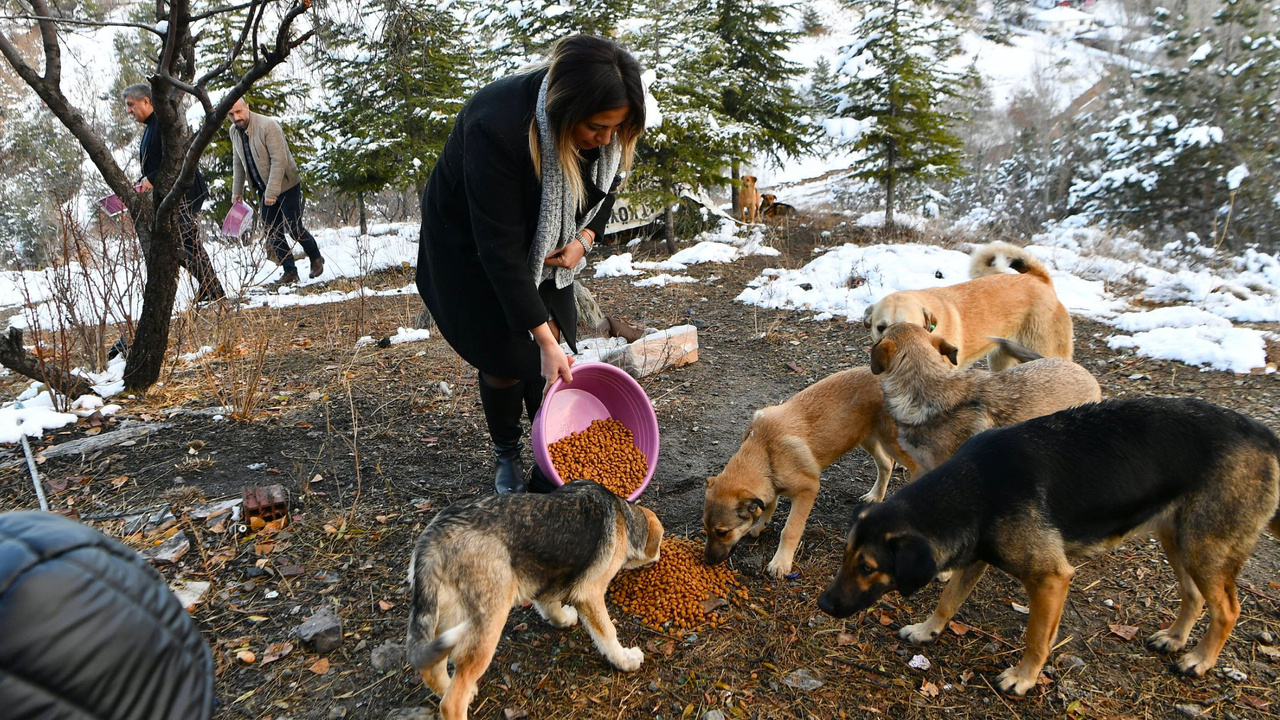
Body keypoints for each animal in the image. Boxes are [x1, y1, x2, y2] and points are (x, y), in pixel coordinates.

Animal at [407, 479, 670, 712]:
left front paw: (563, 619)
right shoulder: (590, 594)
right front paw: (625, 659)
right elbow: (608, 633)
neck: (623, 515)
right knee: (451, 702)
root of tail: (431, 541)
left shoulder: (547, 584)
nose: (659, 556)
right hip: (486, 625)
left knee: (432, 668)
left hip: (444, 619)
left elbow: (551, 606)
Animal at [701, 368, 921, 576]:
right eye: (706, 530)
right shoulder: (771, 486)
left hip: (893, 441)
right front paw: (759, 526)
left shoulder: (808, 490)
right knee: (886, 464)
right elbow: (769, 505)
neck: (764, 452)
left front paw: (781, 563)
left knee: (916, 466)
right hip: (866, 437)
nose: (708, 562)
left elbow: (790, 529)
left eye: (722, 532)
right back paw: (875, 495)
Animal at [819, 394, 1280, 691]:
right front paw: (927, 630)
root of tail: (1263, 434)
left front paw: (1023, 678)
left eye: (868, 568)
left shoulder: (1050, 578)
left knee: (1227, 609)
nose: (823, 604)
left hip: (1205, 549)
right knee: (1194, 596)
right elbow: (948, 601)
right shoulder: (975, 556)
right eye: (844, 557)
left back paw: (1200, 660)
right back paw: (1175, 638)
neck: (975, 489)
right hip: (1179, 539)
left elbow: (1036, 638)